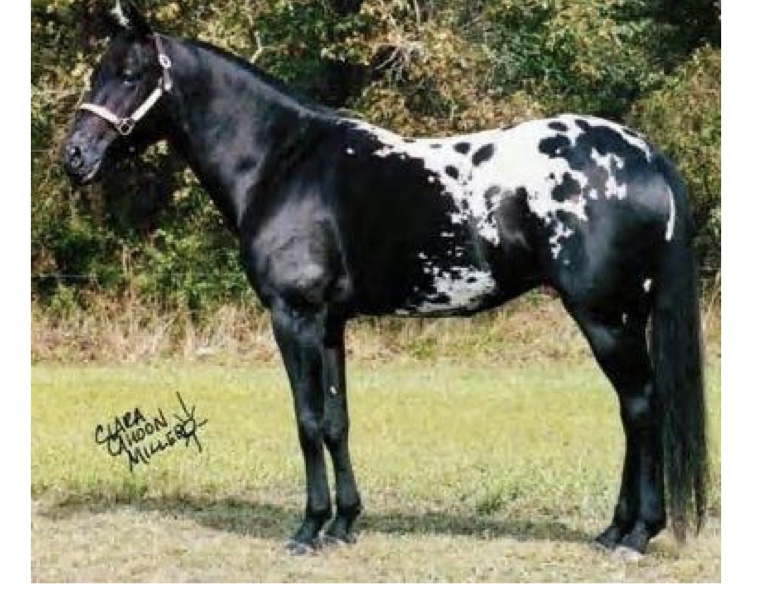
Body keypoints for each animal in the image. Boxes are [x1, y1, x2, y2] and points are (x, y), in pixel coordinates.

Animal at [62, 2, 707, 557]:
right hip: (626, 315)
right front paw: (344, 523)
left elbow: (307, 421)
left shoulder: (293, 317)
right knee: (633, 411)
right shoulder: (329, 324)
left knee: (640, 407)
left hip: (602, 316)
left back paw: (637, 535)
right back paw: (615, 529)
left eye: (130, 74)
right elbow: (336, 420)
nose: (74, 156)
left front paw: (308, 528)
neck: (282, 163)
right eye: (99, 71)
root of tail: (647, 156)